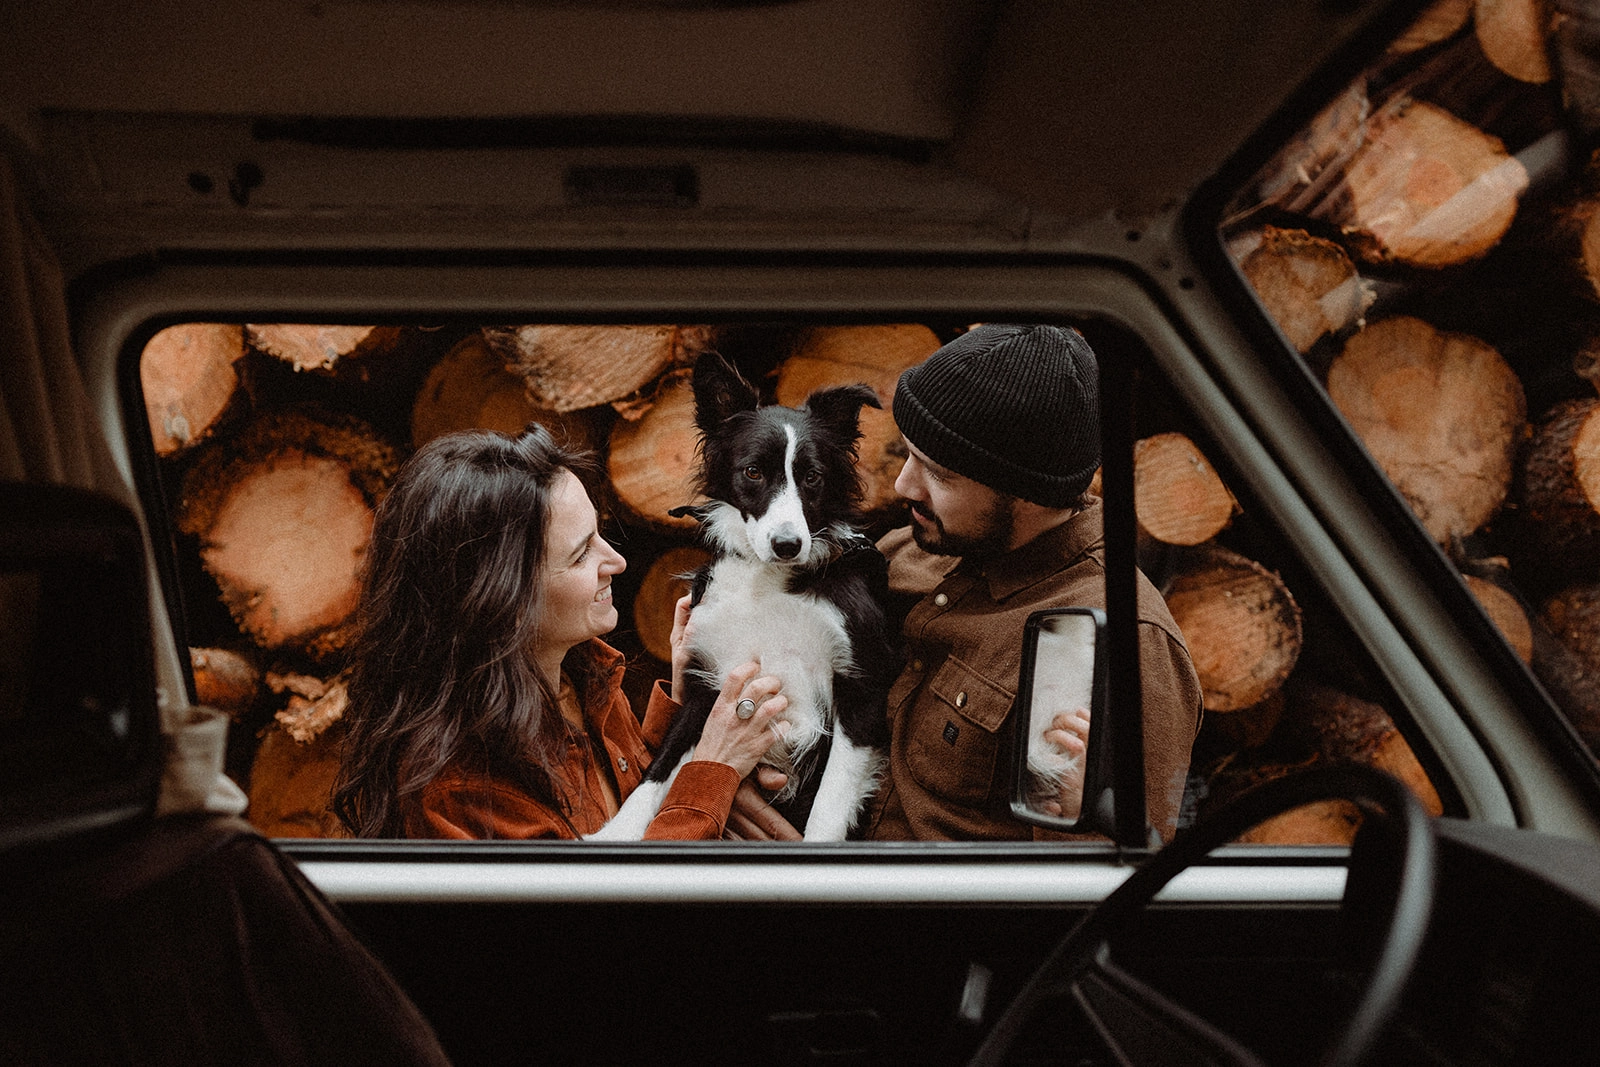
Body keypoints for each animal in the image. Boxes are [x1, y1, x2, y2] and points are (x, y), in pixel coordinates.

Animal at [592, 355, 902, 838]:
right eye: (753, 471)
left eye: (812, 477)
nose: (788, 545)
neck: (768, 578)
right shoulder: (710, 683)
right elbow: (661, 767)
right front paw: (616, 832)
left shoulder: (862, 685)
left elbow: (829, 805)